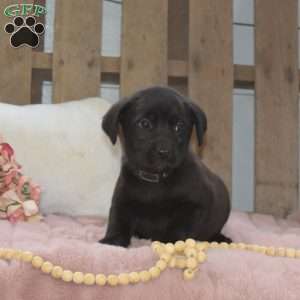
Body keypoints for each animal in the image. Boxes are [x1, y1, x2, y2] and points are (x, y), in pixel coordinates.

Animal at [99, 86, 231, 246]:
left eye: (179, 126)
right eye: (144, 124)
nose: (164, 152)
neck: (155, 180)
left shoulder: (194, 206)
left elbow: (179, 226)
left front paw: (169, 242)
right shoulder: (122, 201)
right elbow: (117, 221)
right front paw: (112, 241)